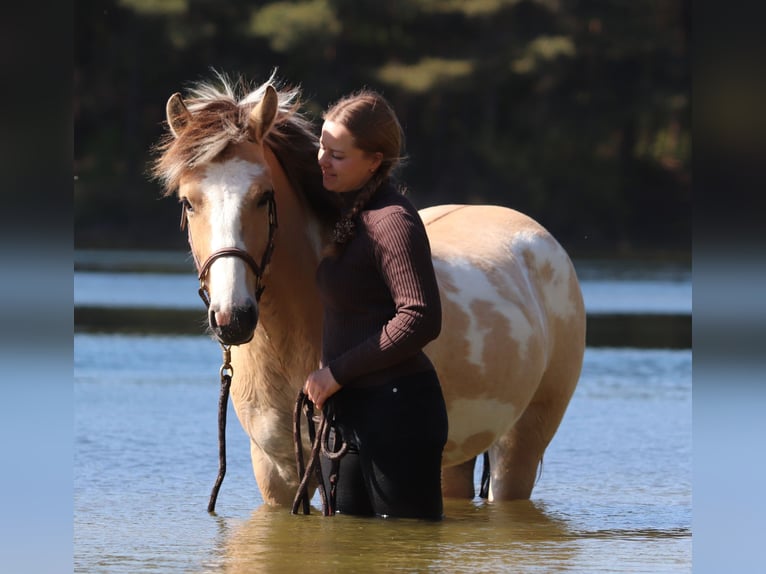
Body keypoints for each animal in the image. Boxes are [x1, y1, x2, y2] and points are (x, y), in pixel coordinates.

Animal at [152, 73, 586, 506]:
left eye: (263, 196)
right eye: (188, 202)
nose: (233, 318)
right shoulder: (276, 472)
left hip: (519, 447)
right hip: (455, 460)